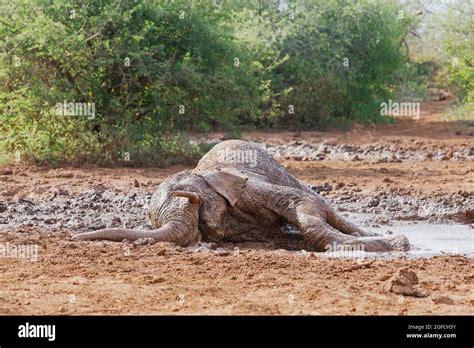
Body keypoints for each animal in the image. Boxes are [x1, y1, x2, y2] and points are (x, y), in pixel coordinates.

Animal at [72, 139, 410, 253]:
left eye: (192, 197)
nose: (76, 238)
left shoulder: (248, 187)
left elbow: (305, 206)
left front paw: (398, 245)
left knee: (322, 205)